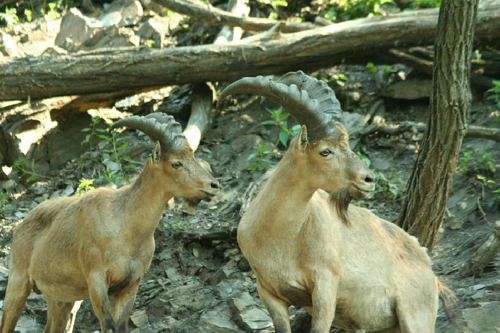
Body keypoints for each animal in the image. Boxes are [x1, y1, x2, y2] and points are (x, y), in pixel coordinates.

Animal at [0, 112, 219, 332]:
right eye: (176, 163)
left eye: (192, 157)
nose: (214, 185)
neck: (126, 226)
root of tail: (20, 227)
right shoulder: (97, 281)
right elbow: (109, 325)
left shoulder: (130, 286)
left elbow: (121, 326)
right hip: (18, 284)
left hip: (62, 299)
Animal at [219, 72, 460, 332]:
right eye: (325, 151)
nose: (368, 179)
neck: (280, 237)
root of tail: (429, 267)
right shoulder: (269, 293)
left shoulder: (325, 284)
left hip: (416, 316)